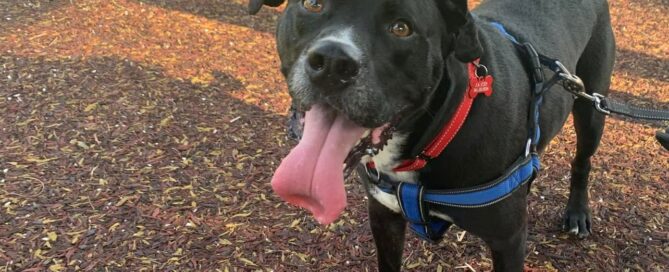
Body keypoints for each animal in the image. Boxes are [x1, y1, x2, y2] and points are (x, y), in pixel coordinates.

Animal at [248, 1, 612, 270]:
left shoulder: (508, 242)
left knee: (582, 162)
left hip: (591, 108)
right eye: (312, 3)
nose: (333, 62)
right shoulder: (384, 216)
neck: (434, 135)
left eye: (401, 28)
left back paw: (577, 214)